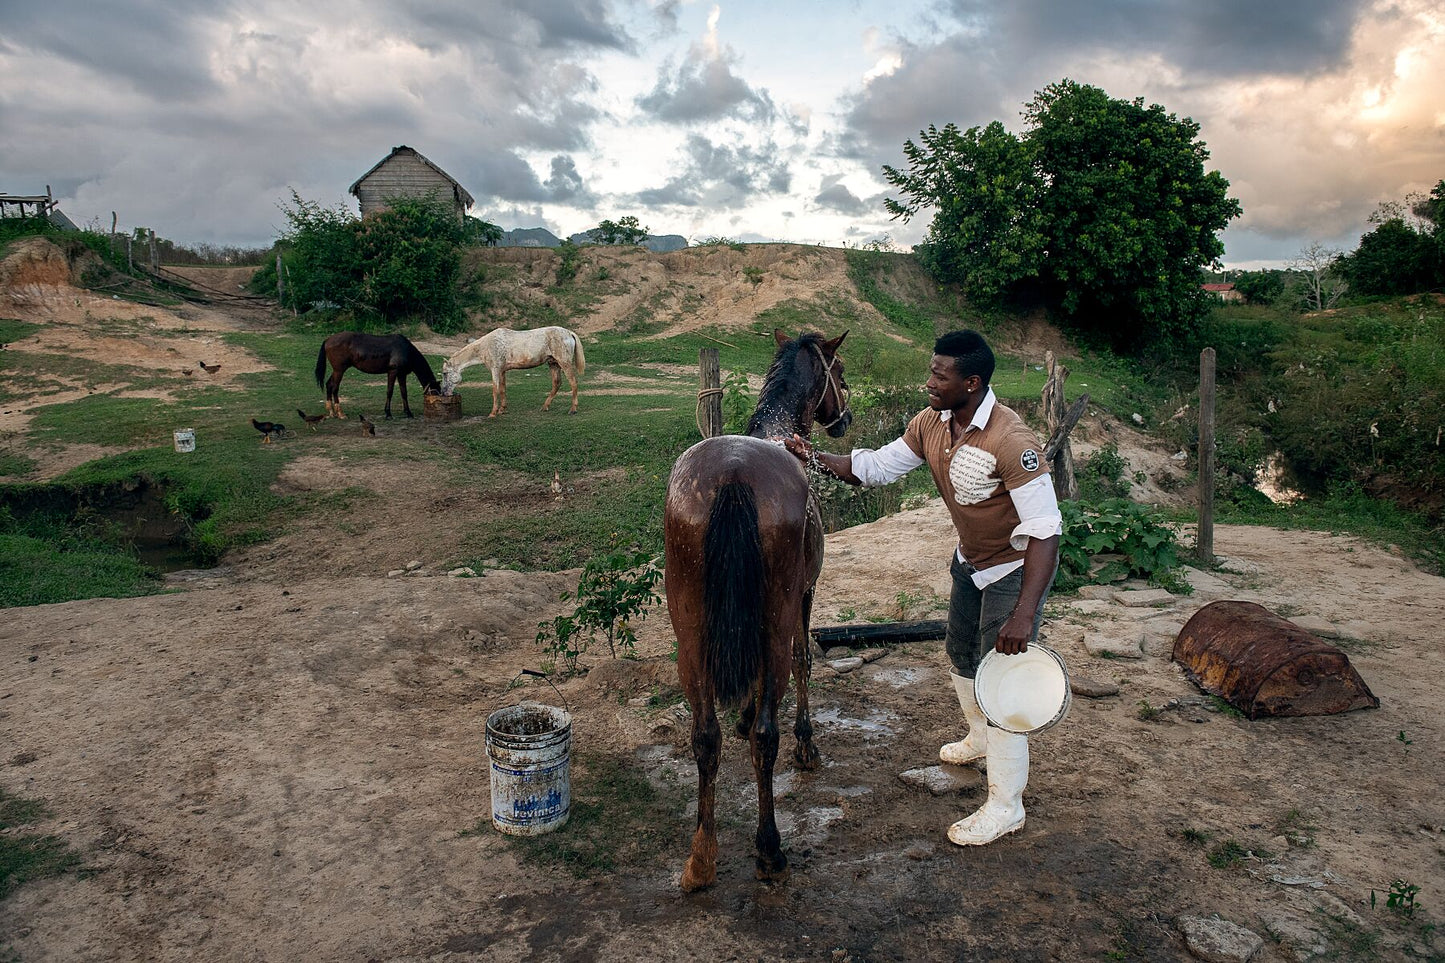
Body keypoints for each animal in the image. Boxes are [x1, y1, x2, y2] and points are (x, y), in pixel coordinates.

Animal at [439, 323, 586, 413]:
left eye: (445, 373)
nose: (443, 392)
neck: (486, 346)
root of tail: (569, 333)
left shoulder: (495, 370)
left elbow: (495, 390)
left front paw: (493, 413)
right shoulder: (502, 371)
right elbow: (502, 389)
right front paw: (502, 409)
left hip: (564, 363)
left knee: (573, 382)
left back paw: (573, 409)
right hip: (553, 364)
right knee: (557, 383)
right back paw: (545, 407)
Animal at [661, 326, 843, 890]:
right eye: (840, 371)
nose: (844, 418)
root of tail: (735, 475)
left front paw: (739, 715)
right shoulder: (804, 595)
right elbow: (805, 664)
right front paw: (807, 744)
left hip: (691, 637)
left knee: (704, 738)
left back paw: (701, 858)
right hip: (776, 622)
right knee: (767, 735)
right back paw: (769, 849)